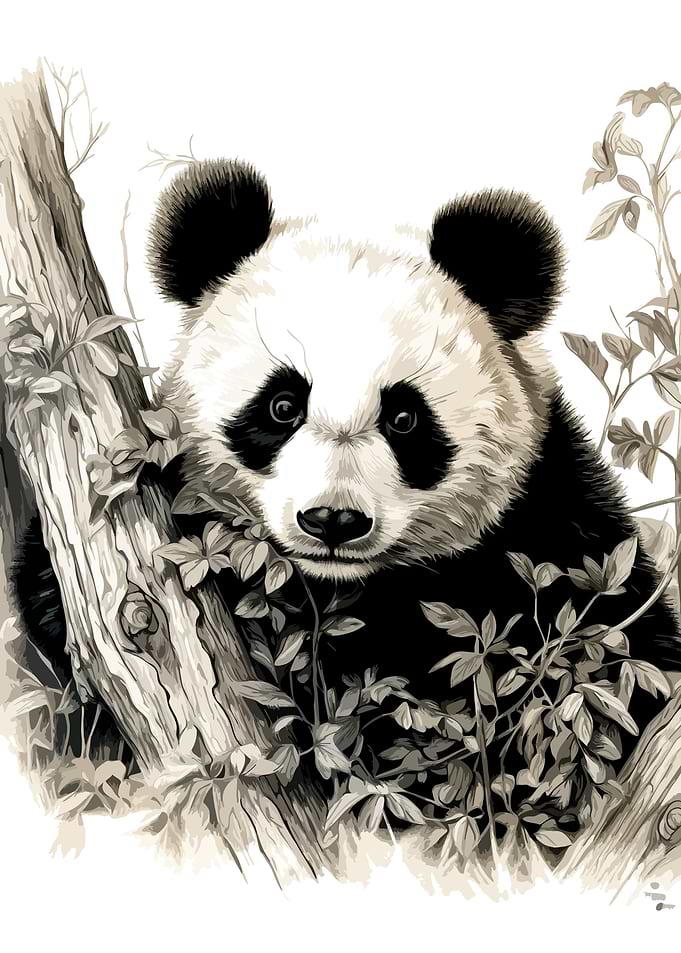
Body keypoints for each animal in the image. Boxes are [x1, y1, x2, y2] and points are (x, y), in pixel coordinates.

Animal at [12, 159, 681, 793]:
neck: (345, 591)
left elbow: (619, 659)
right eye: (282, 405)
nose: (332, 519)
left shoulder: (549, 521)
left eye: (405, 418)